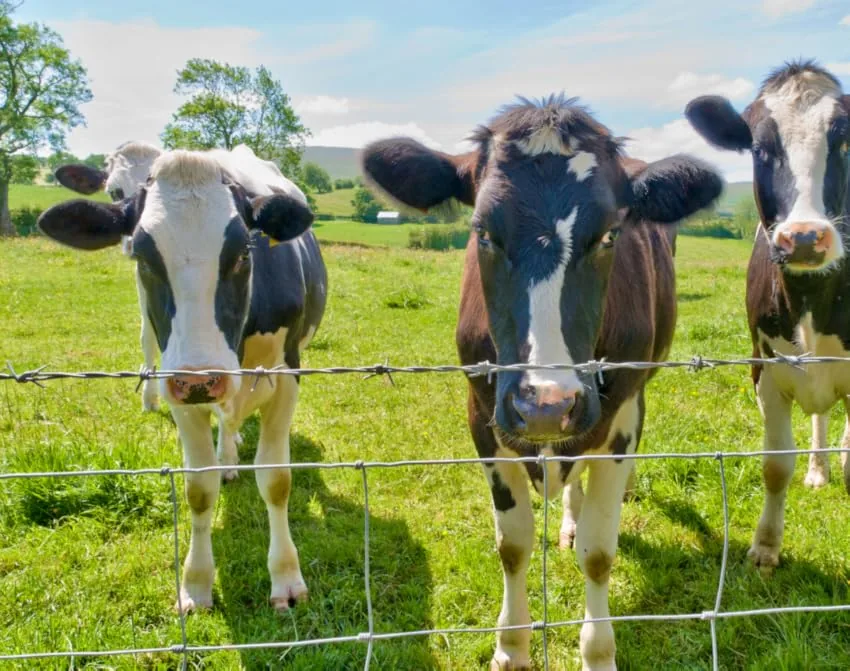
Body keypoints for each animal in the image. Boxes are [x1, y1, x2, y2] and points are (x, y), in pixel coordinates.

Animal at [37, 147, 327, 613]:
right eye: (144, 257)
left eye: (243, 254)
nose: (202, 378)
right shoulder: (178, 387)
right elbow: (198, 488)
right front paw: (196, 583)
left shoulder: (286, 376)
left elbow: (276, 480)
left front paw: (285, 577)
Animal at [361, 95, 723, 670]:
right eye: (483, 232)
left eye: (609, 234)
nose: (546, 404)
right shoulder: (482, 413)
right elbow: (512, 544)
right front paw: (511, 646)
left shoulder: (619, 419)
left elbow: (599, 551)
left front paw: (598, 653)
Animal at [685, 60, 850, 572]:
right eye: (759, 148)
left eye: (844, 140)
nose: (805, 237)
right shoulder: (766, 368)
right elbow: (776, 464)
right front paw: (765, 547)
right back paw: (816, 470)